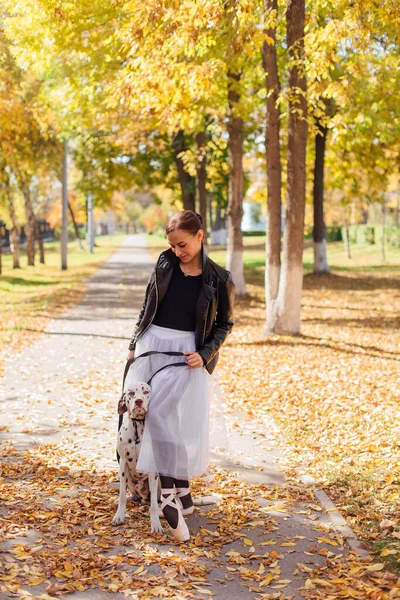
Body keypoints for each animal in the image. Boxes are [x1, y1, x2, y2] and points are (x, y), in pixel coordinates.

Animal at [112, 382, 162, 532]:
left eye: (146, 392)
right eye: (131, 393)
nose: (139, 401)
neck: (137, 426)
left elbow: (154, 505)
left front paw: (155, 523)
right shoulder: (123, 463)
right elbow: (122, 494)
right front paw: (119, 515)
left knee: (157, 499)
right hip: (127, 478)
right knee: (133, 496)